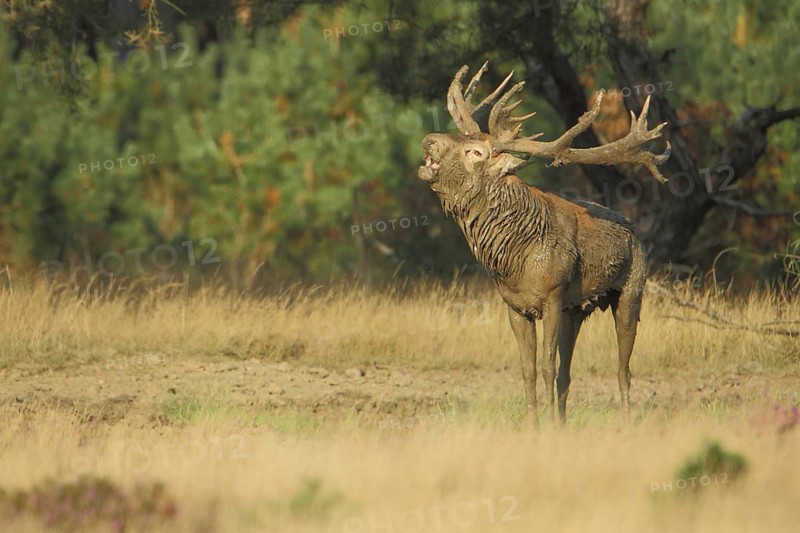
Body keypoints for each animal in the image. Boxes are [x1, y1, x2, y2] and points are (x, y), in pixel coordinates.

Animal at [418, 62, 671, 427]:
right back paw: (565, 421)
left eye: (475, 152)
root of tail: (633, 230)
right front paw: (535, 427)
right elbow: (529, 370)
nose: (429, 141)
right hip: (575, 310)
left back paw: (624, 420)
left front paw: (548, 428)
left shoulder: (552, 297)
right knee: (569, 372)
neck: (513, 261)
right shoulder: (515, 306)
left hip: (631, 291)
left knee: (623, 368)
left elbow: (547, 367)